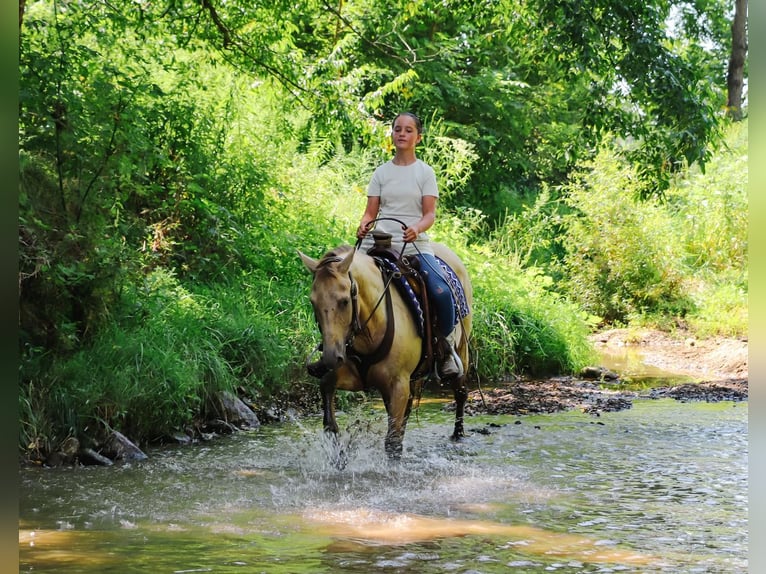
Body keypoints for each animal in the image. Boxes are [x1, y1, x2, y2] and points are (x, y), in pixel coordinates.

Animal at [298, 242, 473, 460]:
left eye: (344, 301)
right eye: (313, 302)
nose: (331, 357)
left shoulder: (398, 385)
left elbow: (392, 443)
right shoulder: (357, 377)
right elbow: (326, 386)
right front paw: (336, 447)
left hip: (462, 349)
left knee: (460, 392)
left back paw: (458, 435)